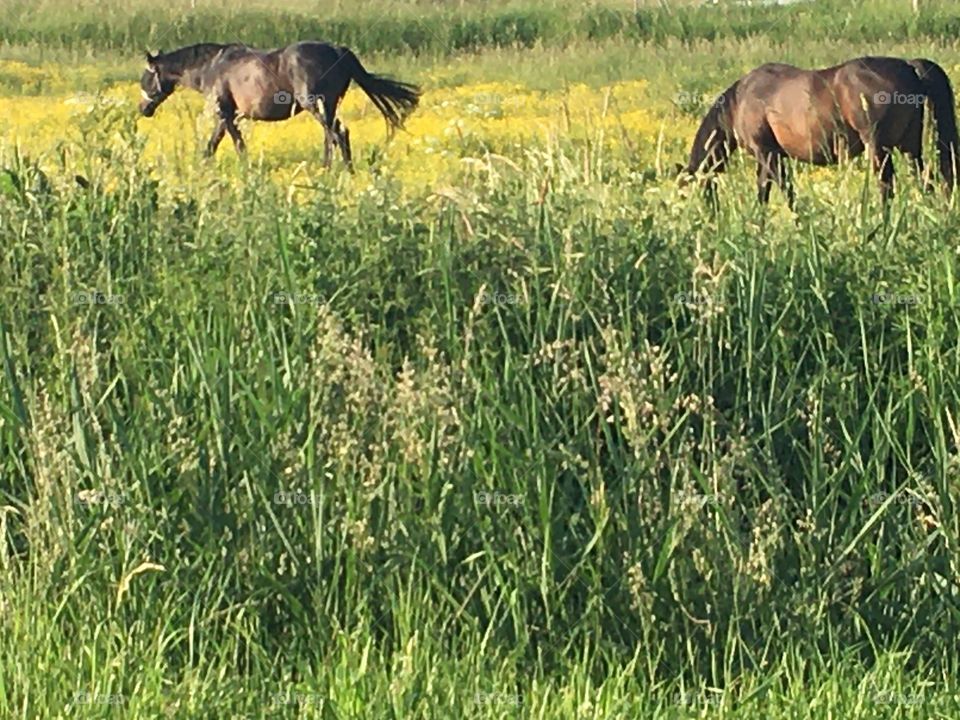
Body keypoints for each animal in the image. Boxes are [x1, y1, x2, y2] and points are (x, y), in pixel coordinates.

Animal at [138, 42, 421, 169]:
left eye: (146, 78)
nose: (143, 109)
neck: (211, 67)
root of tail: (338, 51)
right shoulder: (227, 115)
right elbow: (212, 144)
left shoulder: (226, 112)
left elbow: (237, 144)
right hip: (327, 107)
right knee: (334, 135)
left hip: (316, 105)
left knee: (336, 134)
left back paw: (336, 170)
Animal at [678, 57, 959, 205]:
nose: (709, 215)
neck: (740, 100)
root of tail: (909, 67)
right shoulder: (772, 156)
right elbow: (765, 190)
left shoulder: (766, 153)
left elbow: (781, 189)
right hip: (909, 147)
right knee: (924, 179)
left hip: (879, 148)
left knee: (886, 186)